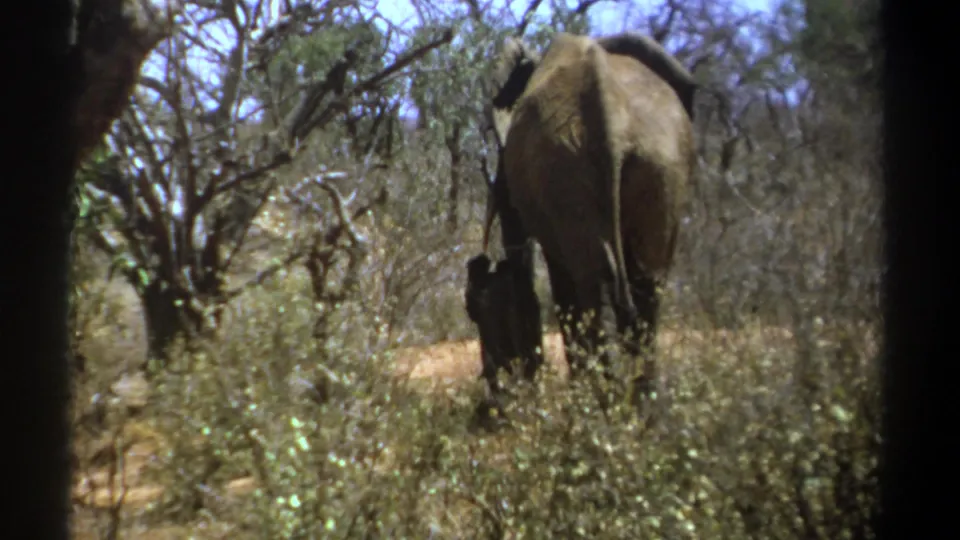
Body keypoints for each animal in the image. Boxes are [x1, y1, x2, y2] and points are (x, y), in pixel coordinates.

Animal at [477, 31, 697, 412]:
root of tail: (610, 117)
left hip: (571, 171)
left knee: (590, 283)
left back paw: (599, 406)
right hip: (655, 167)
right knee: (643, 285)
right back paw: (636, 410)